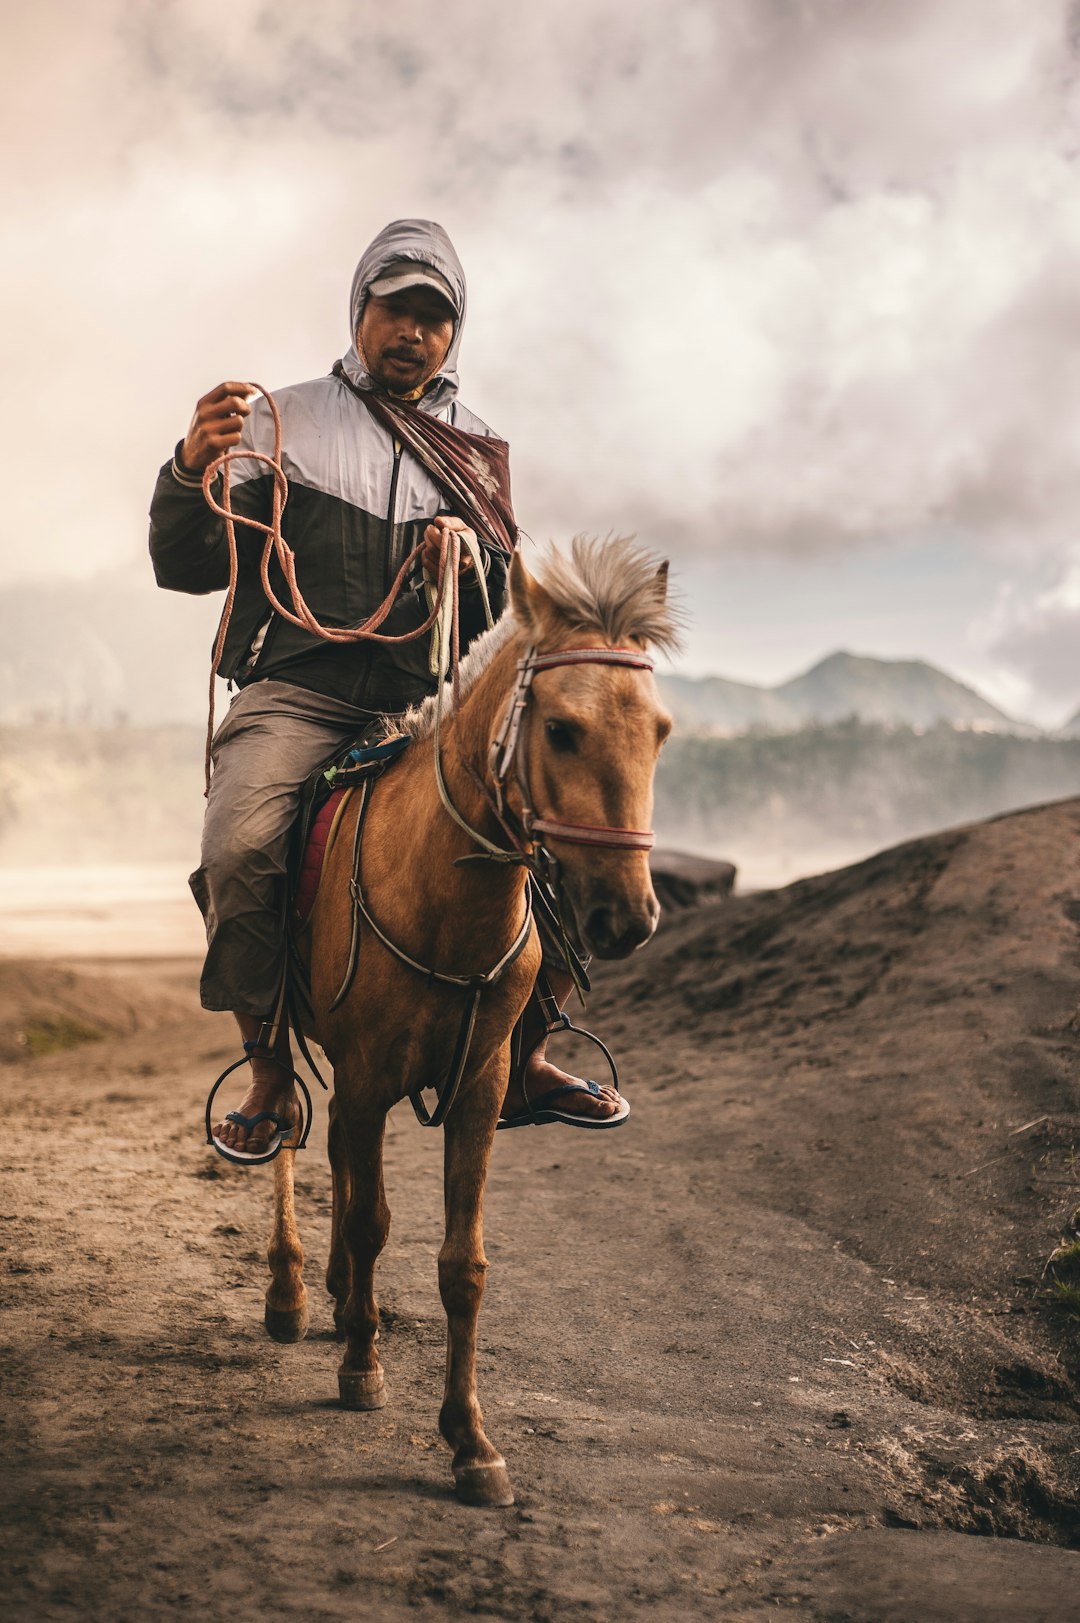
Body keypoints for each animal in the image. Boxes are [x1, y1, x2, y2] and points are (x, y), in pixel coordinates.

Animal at [263, 535, 675, 1506]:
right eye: (560, 729)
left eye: (661, 731)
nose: (628, 917)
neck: (442, 893)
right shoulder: (368, 1075)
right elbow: (372, 1220)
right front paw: (363, 1368)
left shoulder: (479, 1087)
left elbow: (463, 1262)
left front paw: (470, 1440)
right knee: (289, 1135)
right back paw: (293, 1293)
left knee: (335, 1155)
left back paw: (340, 1293)